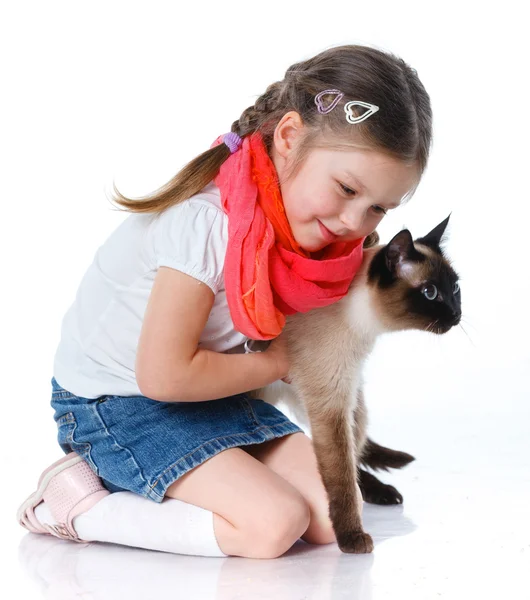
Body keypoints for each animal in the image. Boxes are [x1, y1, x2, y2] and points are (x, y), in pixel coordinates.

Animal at [252, 214, 458, 552]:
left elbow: (346, 465)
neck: (364, 331)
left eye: (455, 288)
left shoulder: (344, 393)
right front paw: (351, 538)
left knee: (357, 451)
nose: (456, 314)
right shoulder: (331, 402)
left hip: (356, 409)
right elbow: (341, 478)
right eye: (430, 293)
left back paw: (383, 493)